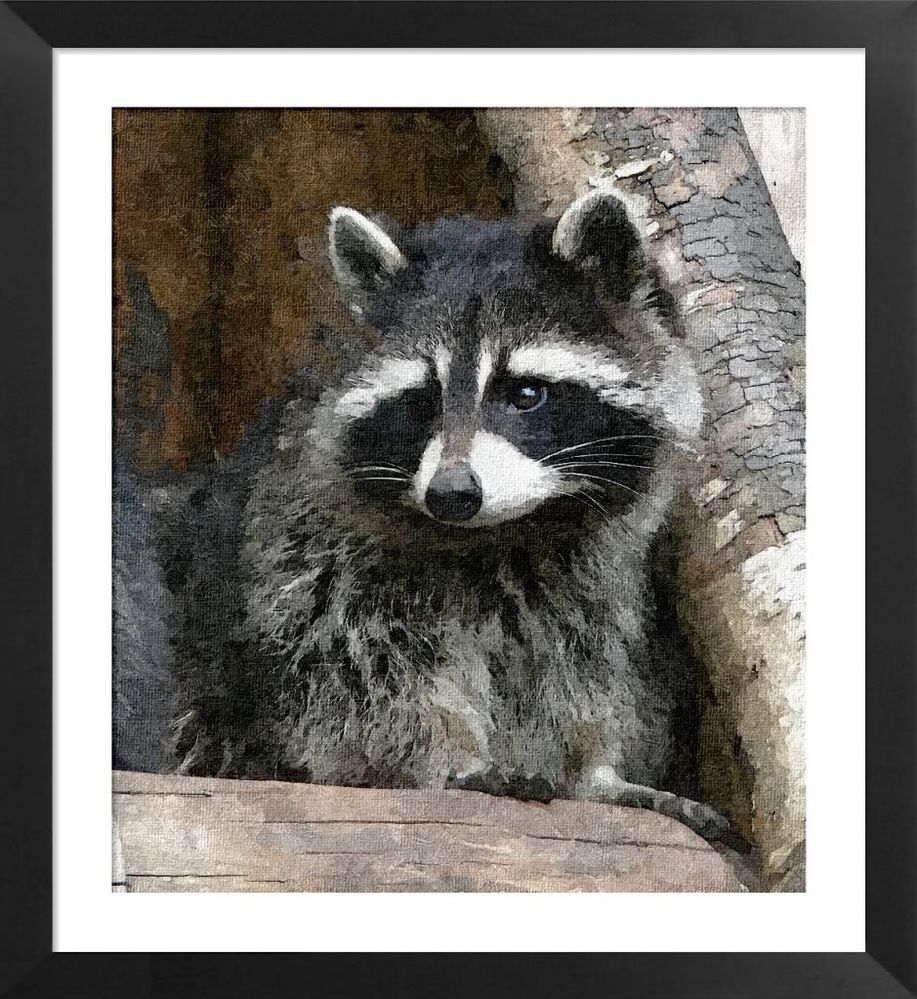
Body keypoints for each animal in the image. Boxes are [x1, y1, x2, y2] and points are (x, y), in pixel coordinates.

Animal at [163, 189, 727, 840]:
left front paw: (591, 771)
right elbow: (351, 666)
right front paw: (444, 760)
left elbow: (583, 661)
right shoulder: (314, 544)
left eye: (525, 394)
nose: (451, 493)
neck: (502, 533)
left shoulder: (593, 567)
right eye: (423, 401)